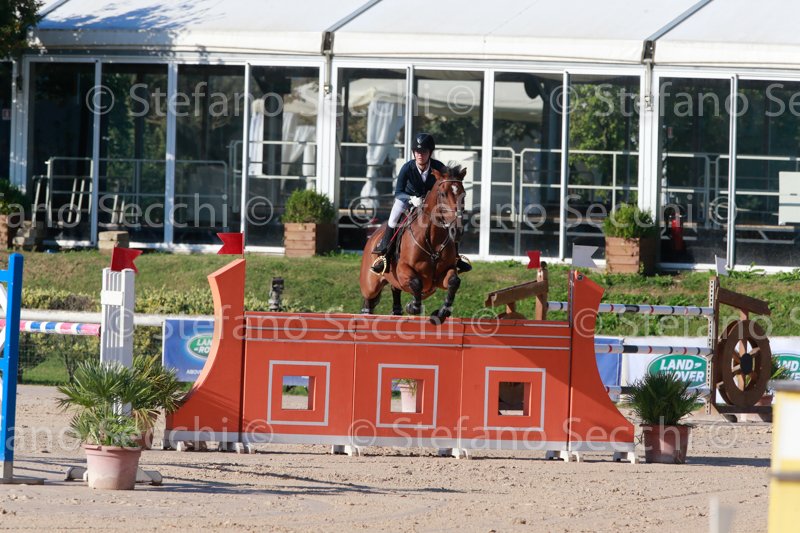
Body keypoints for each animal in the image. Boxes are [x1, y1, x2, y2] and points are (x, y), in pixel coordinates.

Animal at [359, 165, 467, 325]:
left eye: (463, 195)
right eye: (442, 194)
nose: (457, 231)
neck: (432, 240)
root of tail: (372, 236)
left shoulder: (443, 275)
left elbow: (454, 282)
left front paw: (441, 313)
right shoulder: (403, 270)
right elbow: (416, 283)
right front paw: (412, 306)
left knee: (395, 296)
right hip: (370, 286)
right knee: (368, 303)